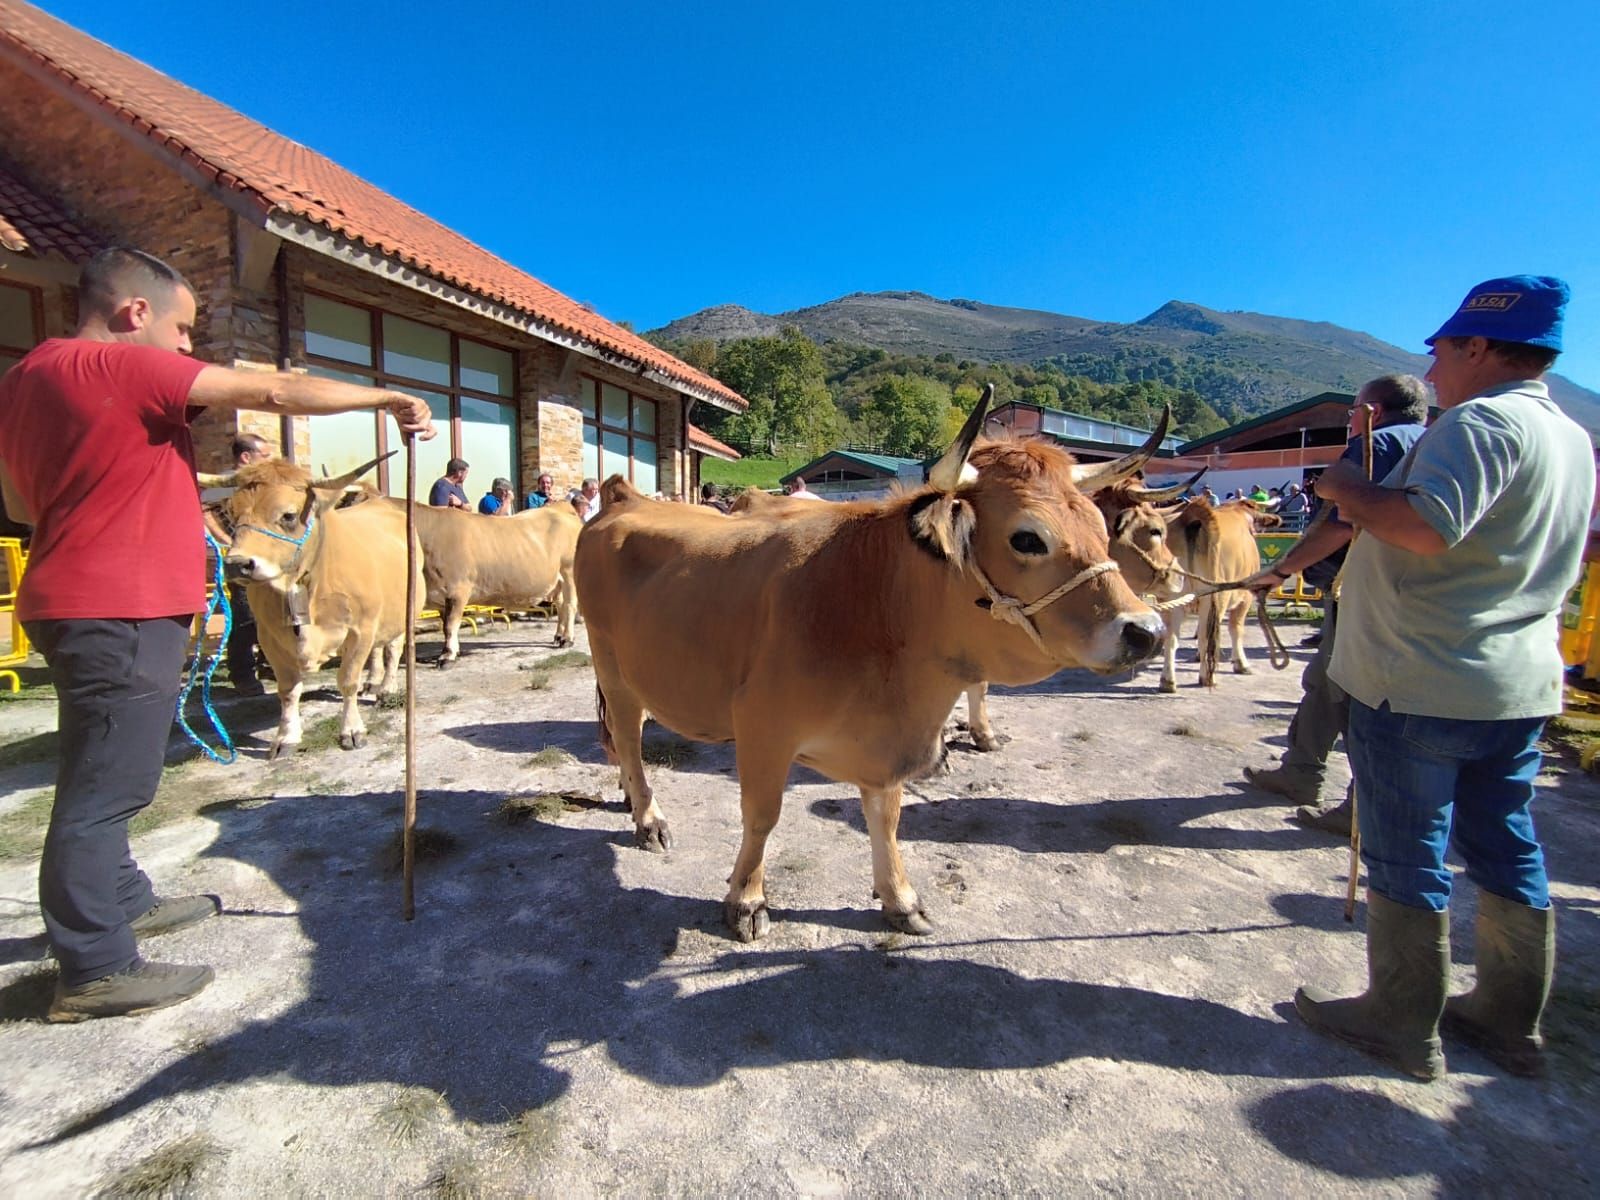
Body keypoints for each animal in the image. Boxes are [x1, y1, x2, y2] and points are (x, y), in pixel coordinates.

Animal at [572, 390, 1164, 947]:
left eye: (1101, 530)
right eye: (1027, 538)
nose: (1148, 631)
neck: (878, 606)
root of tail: (624, 498)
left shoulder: (887, 745)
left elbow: (887, 817)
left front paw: (900, 899)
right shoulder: (762, 726)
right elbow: (762, 816)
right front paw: (747, 900)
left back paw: (631, 795)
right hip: (611, 664)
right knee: (628, 736)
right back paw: (649, 818)